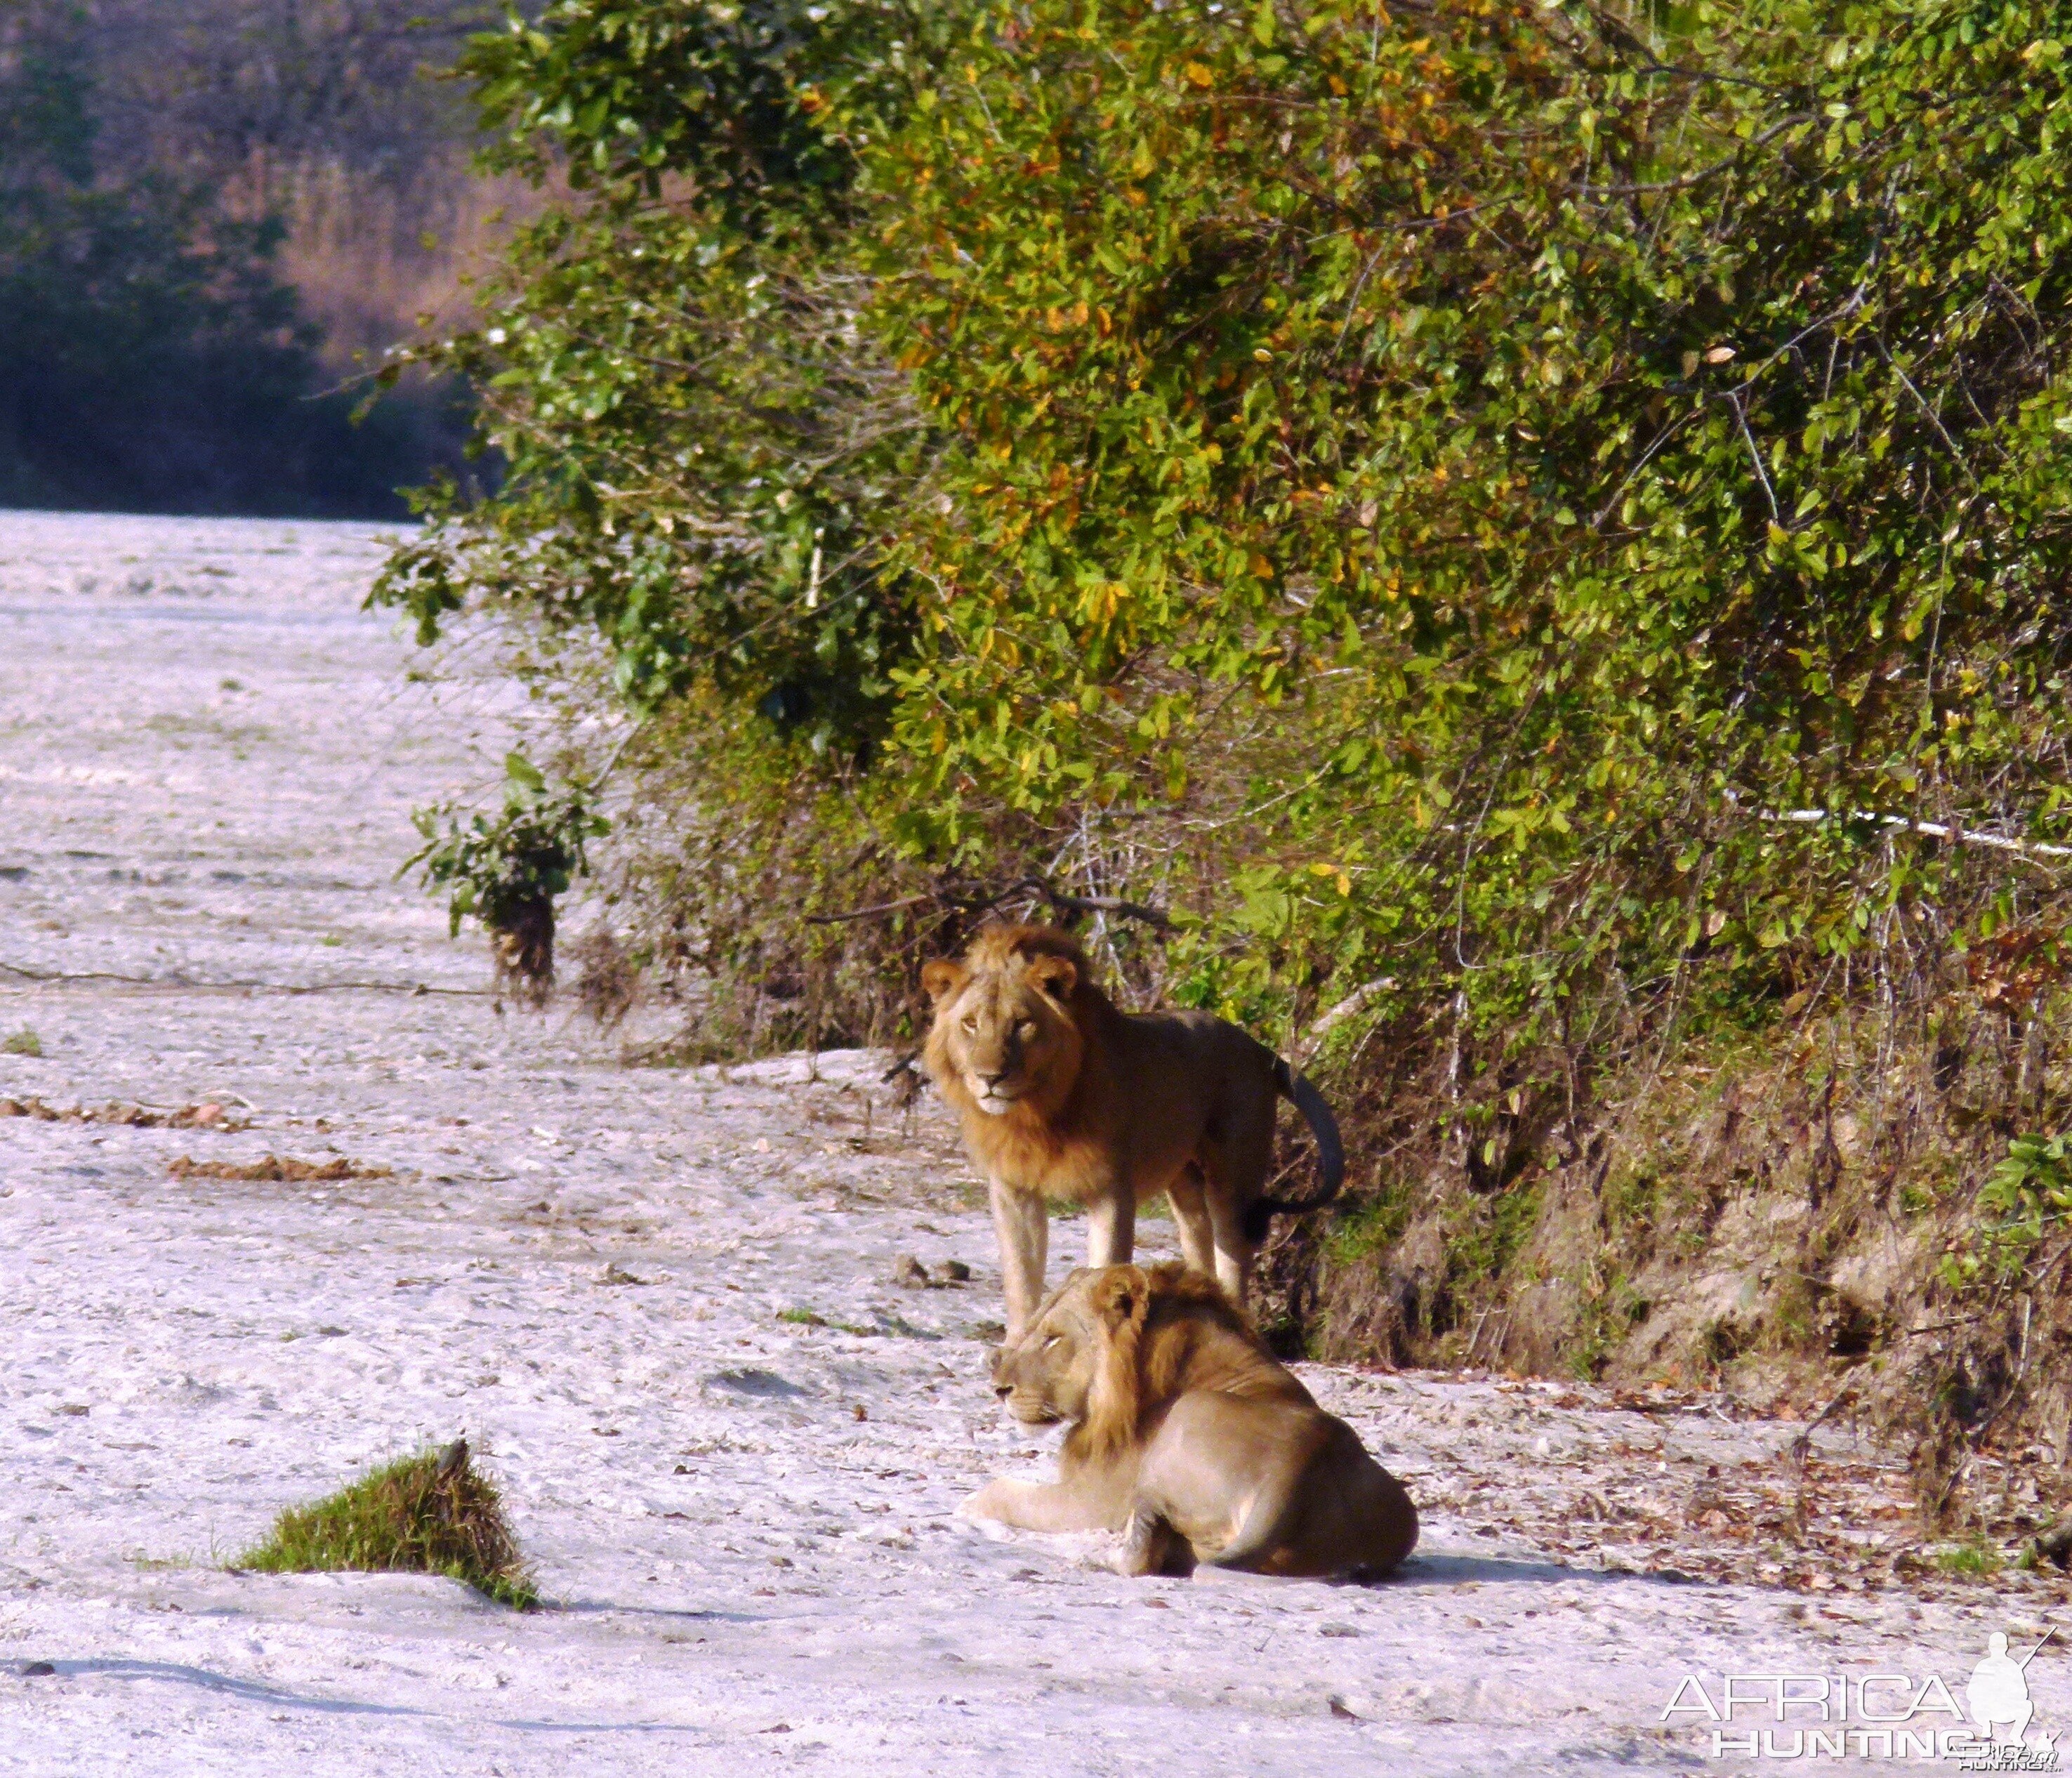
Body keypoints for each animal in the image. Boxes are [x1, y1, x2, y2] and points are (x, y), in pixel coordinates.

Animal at [924, 928, 1342, 1326]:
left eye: (1023, 1024)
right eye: (970, 1024)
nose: (990, 1077)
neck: (1036, 1114)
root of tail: (1261, 1050)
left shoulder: (1112, 1191)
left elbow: (1105, 1269)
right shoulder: (1014, 1189)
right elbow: (1020, 1284)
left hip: (1232, 1183)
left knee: (1233, 1259)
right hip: (1186, 1186)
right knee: (1200, 1245)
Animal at [961, 1268, 1417, 1574]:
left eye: (1053, 1338)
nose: (998, 1388)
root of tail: (1295, 1469)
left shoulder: (1090, 1500)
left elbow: (1002, 1493)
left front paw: (970, 1503)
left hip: (1183, 1424)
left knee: (1141, 1550)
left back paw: (1103, 1557)